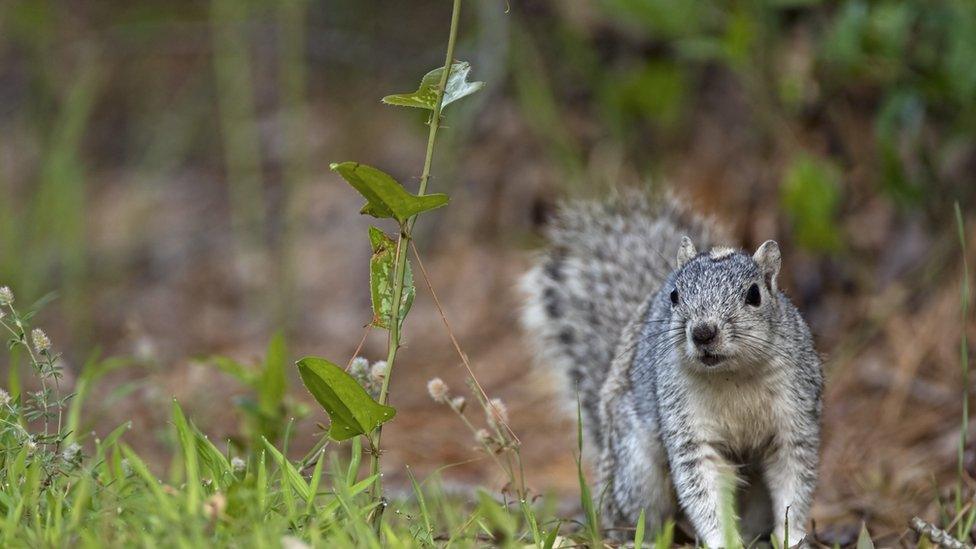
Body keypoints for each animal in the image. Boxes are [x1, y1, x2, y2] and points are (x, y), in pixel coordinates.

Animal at [524, 191, 820, 544]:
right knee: (638, 514)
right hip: (635, 467)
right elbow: (704, 490)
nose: (703, 332)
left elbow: (794, 482)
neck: (731, 375)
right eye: (675, 295)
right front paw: (721, 541)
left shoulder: (794, 417)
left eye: (754, 294)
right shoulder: (687, 427)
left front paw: (794, 537)